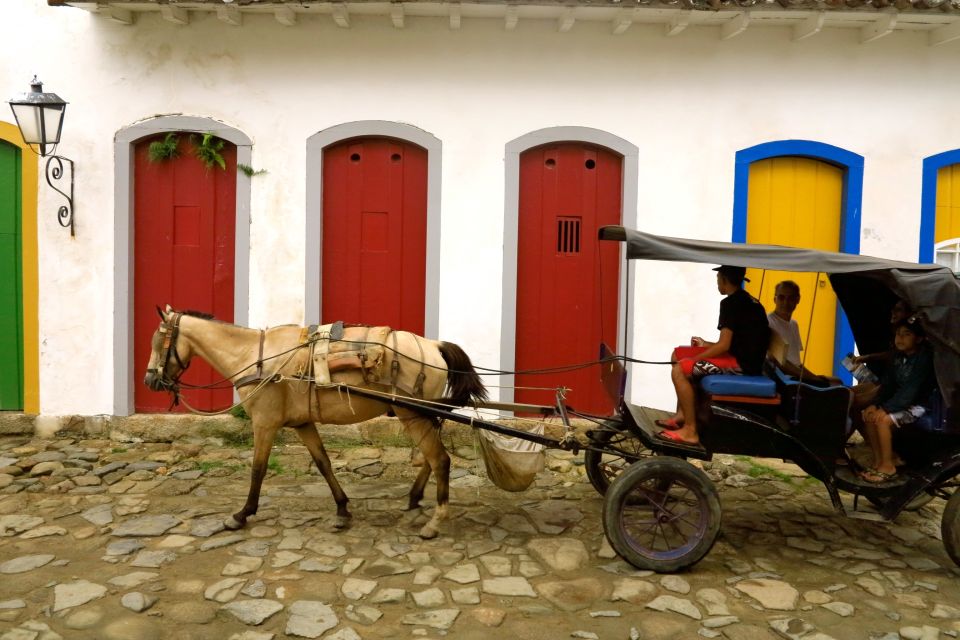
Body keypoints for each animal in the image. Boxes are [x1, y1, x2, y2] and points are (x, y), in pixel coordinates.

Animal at [142, 308, 488, 536]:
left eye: (158, 342)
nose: (150, 380)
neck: (255, 357)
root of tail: (434, 345)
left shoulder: (265, 423)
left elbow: (258, 469)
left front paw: (241, 514)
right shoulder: (302, 424)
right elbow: (323, 463)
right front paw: (342, 509)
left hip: (412, 413)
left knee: (440, 459)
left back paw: (435, 520)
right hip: (420, 413)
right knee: (431, 458)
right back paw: (415, 498)